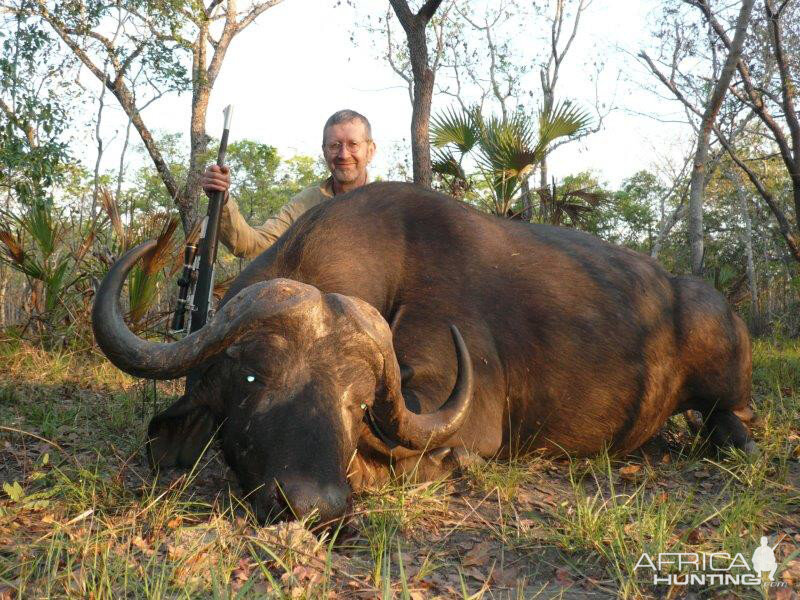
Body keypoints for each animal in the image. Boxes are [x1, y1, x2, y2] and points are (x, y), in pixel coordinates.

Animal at [90, 183, 752, 524]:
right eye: (252, 378)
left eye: (357, 407)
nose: (317, 508)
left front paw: (451, 463)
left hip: (725, 383)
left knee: (730, 419)